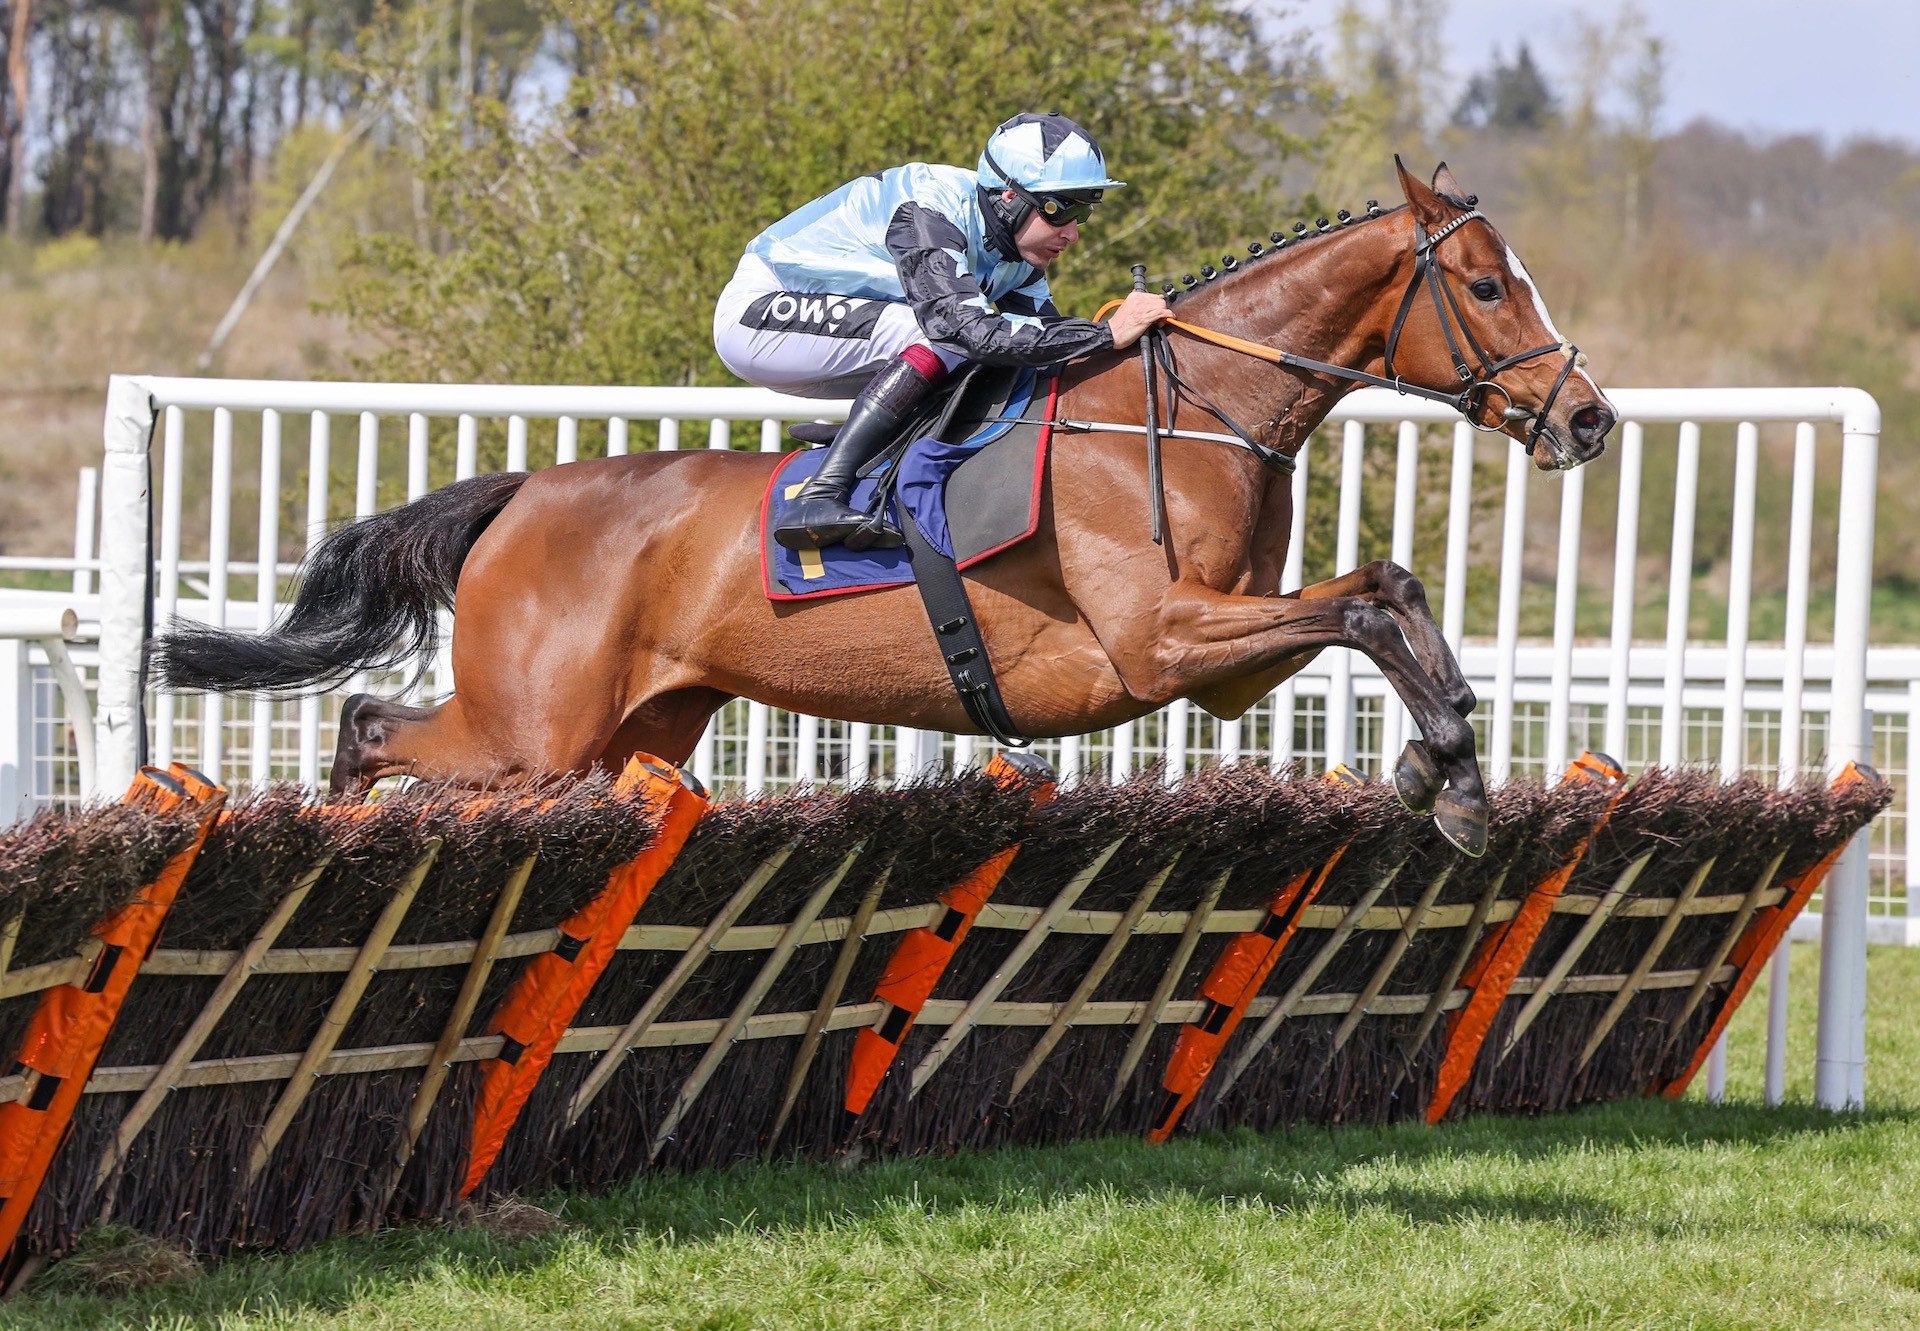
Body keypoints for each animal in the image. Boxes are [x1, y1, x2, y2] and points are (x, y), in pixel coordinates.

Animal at [157, 163, 1612, 852]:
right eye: (1488, 286)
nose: (1587, 416)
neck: (1188, 408)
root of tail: (525, 492)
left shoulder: (1223, 659)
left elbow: (1383, 592)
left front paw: (1448, 764)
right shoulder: (1158, 644)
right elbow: (1364, 602)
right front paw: (1450, 771)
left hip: (627, 731)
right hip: (531, 729)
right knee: (367, 723)